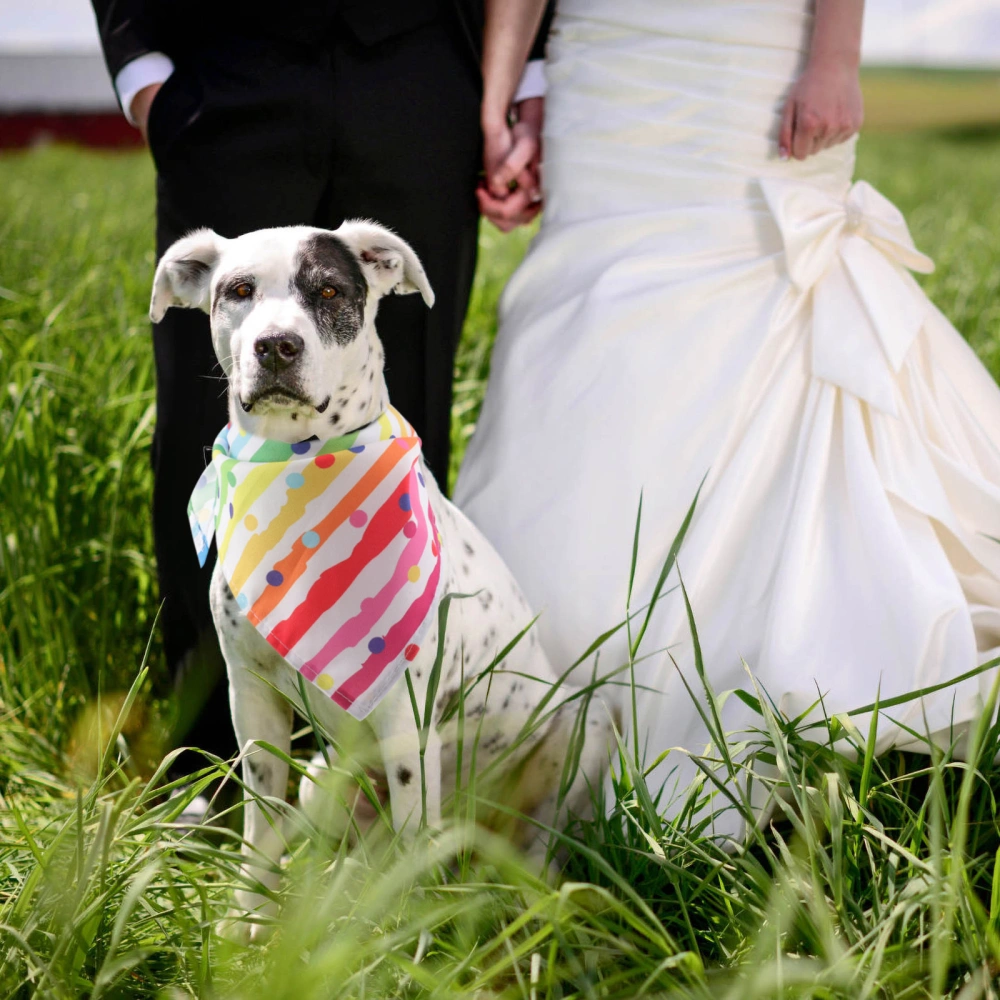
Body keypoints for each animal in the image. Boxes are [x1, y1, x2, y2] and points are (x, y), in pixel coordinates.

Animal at [151, 223, 612, 940]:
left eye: (328, 291)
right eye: (239, 290)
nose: (275, 346)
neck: (296, 467)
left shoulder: (405, 718)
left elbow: (414, 832)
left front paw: (406, 941)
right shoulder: (251, 697)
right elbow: (261, 819)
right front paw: (250, 916)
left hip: (583, 731)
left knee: (533, 842)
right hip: (322, 778)